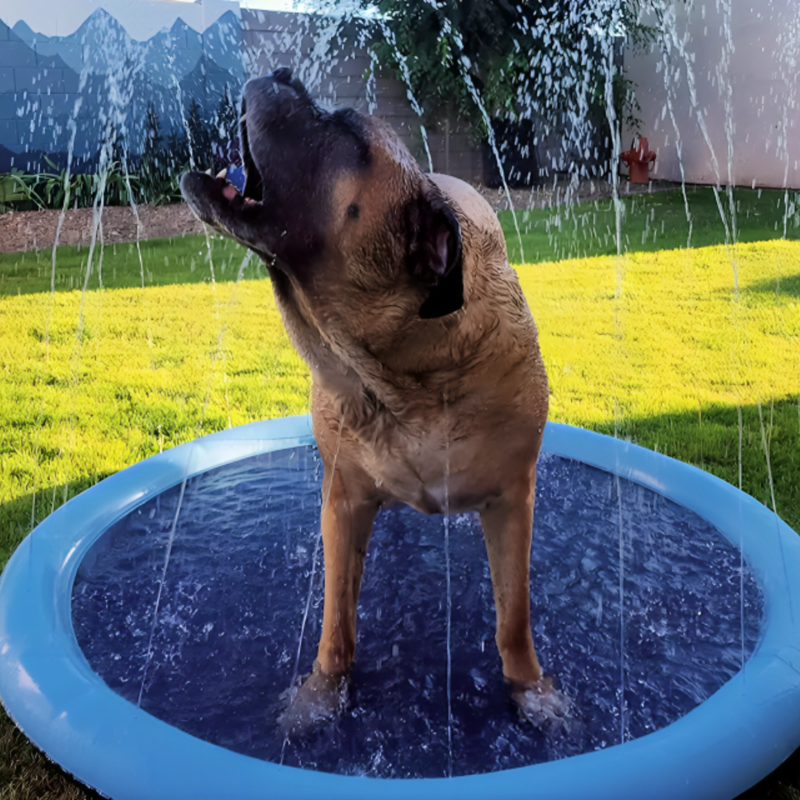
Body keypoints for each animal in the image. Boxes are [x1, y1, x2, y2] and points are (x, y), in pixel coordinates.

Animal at [181, 67, 568, 732]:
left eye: (342, 130)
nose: (281, 72)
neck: (400, 379)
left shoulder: (512, 499)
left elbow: (513, 617)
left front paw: (529, 689)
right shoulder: (343, 499)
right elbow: (336, 619)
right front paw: (321, 693)